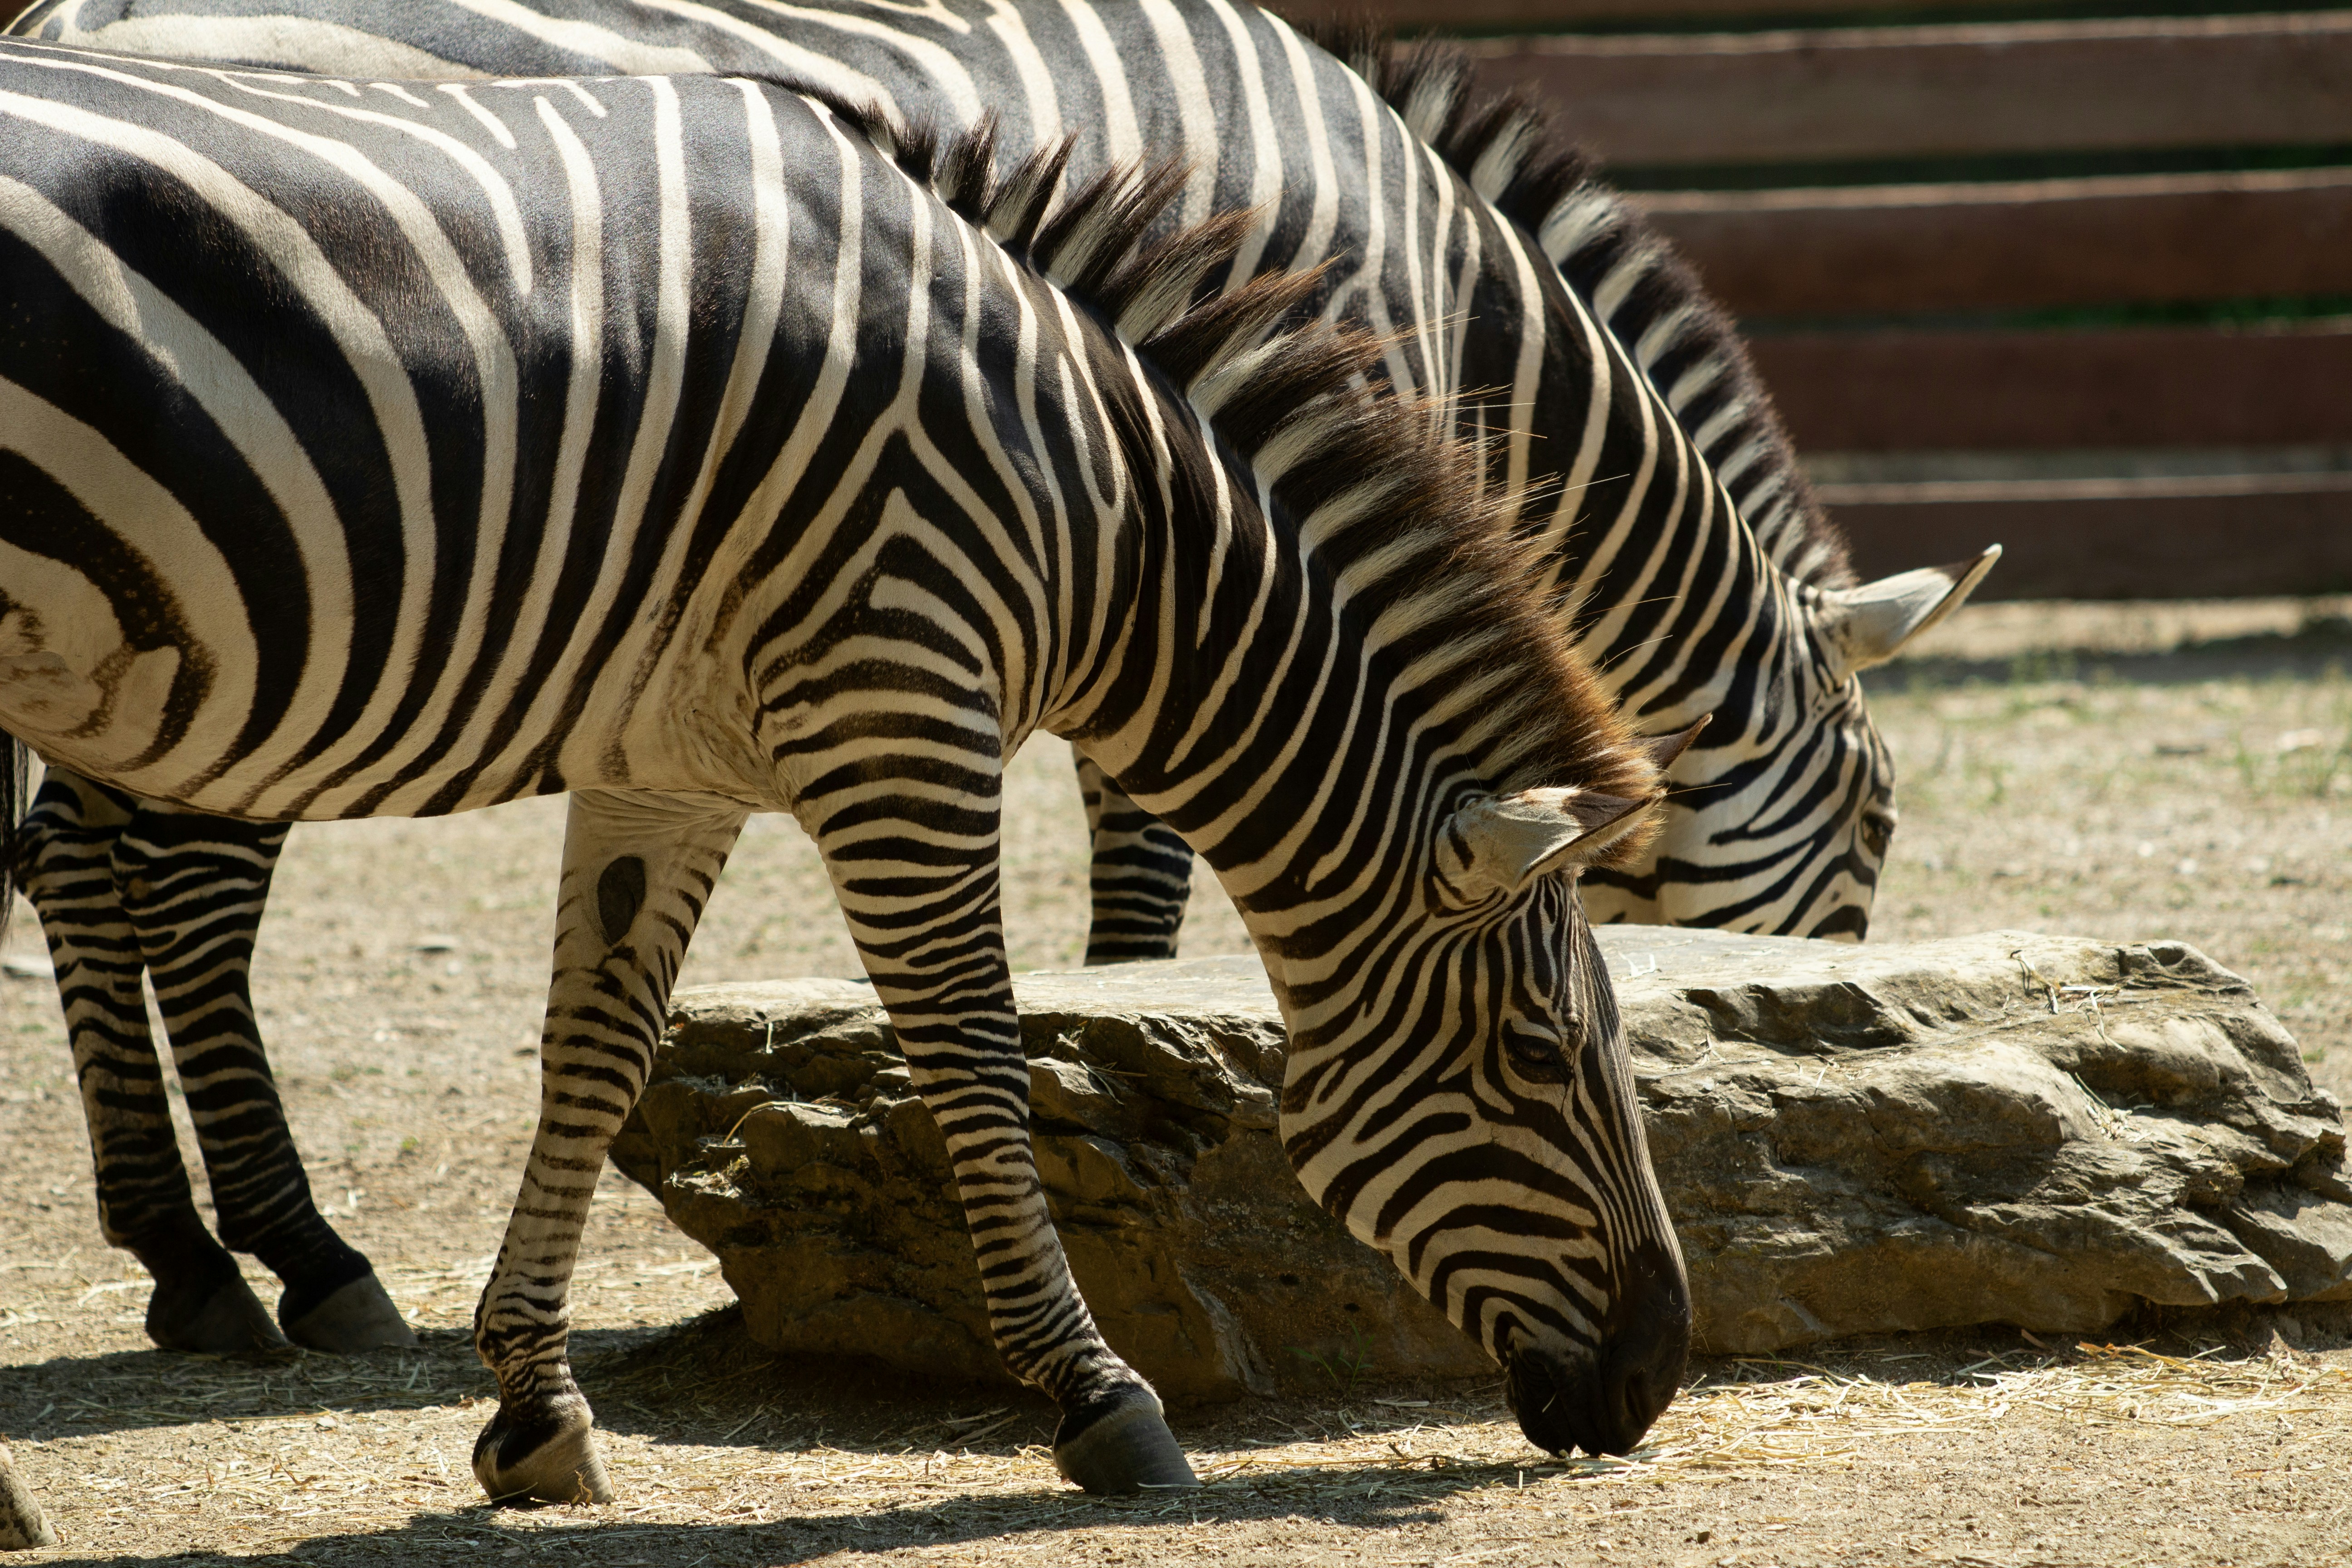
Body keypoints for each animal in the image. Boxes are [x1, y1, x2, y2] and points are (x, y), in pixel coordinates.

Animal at [0, 0, 1994, 1367]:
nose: (1809, 1022)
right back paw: (298, 1253)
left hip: (172, 604)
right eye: (1875, 832)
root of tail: (84, 23)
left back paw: (189, 1258)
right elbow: (1146, 858)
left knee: (85, 864)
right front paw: (1140, 1047)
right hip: (312, 572)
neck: (1442, 279)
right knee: (180, 884)